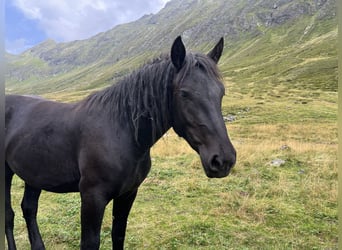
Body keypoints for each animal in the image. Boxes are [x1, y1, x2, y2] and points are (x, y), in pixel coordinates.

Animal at [5, 36, 235, 249]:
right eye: (184, 94)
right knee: (9, 215)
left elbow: (118, 235)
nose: (223, 160)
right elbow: (90, 242)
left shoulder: (128, 194)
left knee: (29, 209)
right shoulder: (92, 198)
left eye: (221, 92)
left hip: (34, 175)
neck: (121, 131)